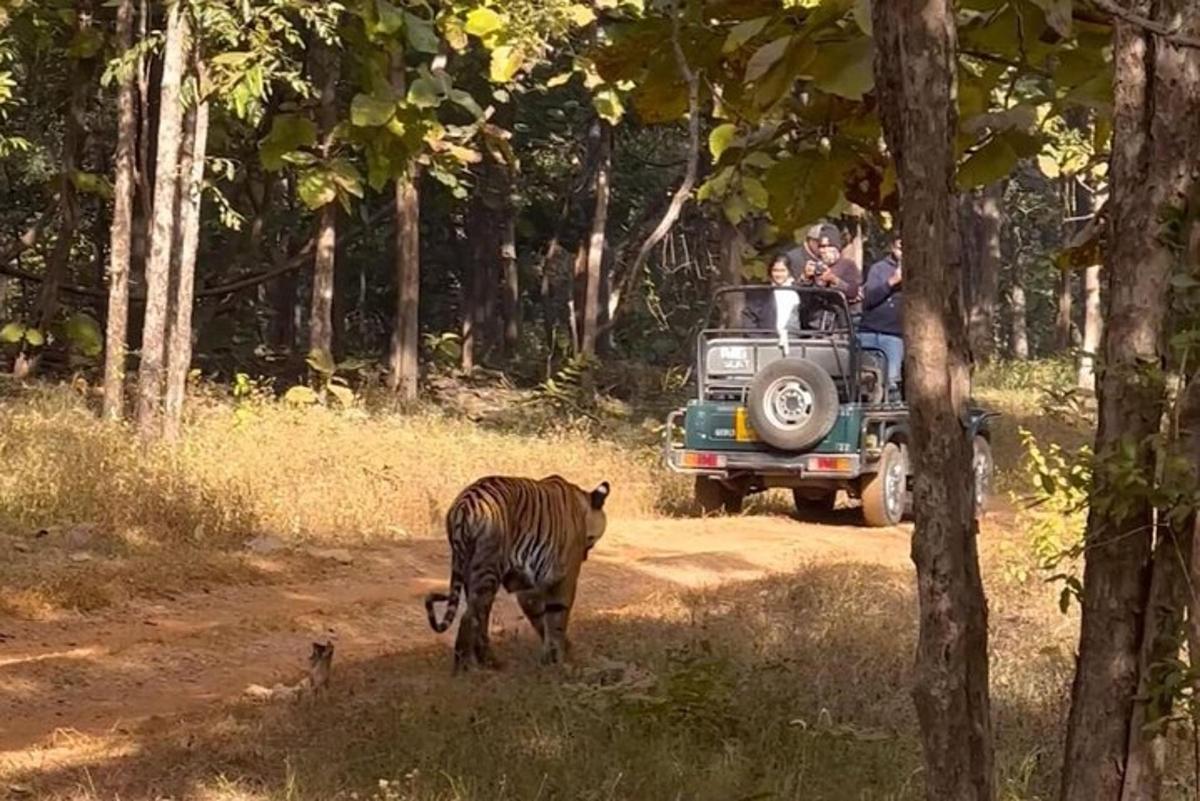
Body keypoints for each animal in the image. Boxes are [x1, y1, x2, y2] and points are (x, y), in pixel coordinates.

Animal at [424, 472, 609, 671]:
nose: (585, 556)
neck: (582, 505)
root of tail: (464, 503)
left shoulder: (528, 587)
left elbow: (541, 619)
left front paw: (555, 655)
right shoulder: (564, 578)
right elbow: (557, 618)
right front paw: (560, 660)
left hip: (470, 572)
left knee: (480, 616)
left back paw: (489, 662)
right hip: (487, 570)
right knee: (469, 617)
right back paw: (466, 668)